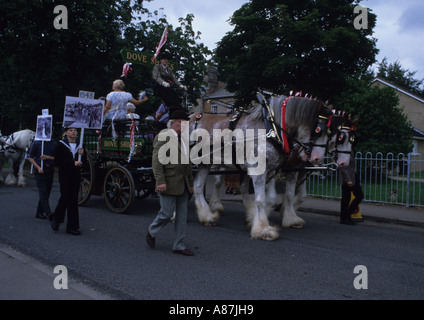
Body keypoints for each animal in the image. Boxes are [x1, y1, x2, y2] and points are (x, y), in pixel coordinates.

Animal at [189, 92, 332, 240]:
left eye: (330, 132)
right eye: (318, 130)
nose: (317, 158)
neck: (271, 129)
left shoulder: (270, 171)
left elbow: (273, 197)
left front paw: (257, 218)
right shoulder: (258, 170)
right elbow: (260, 199)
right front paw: (262, 229)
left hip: (204, 163)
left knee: (198, 186)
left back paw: (207, 217)